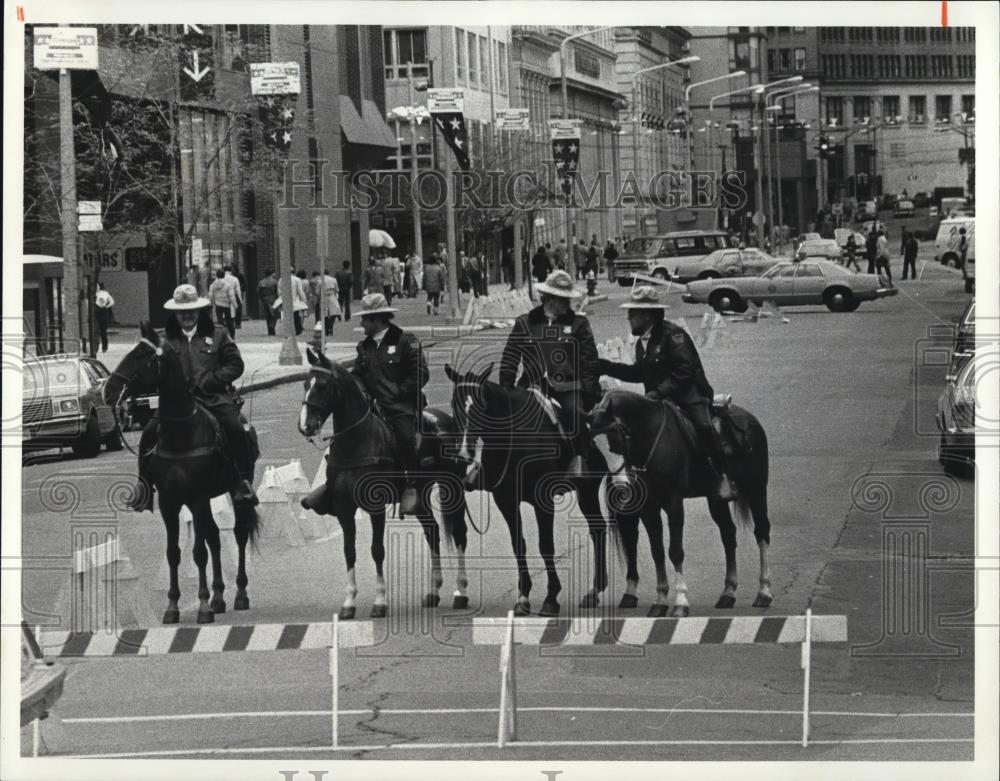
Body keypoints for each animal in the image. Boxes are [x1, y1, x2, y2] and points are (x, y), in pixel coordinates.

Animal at [103, 322, 262, 620]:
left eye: (140, 355)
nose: (107, 391)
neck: (182, 433)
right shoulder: (169, 501)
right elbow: (174, 552)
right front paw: (173, 606)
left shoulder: (196, 498)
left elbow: (198, 552)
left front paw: (202, 605)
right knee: (214, 537)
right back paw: (219, 597)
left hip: (237, 489)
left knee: (238, 533)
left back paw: (240, 594)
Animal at [296, 350, 472, 620]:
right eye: (305, 384)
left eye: (323, 386)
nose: (305, 426)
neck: (356, 442)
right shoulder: (344, 509)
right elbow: (349, 552)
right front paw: (349, 602)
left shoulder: (375, 508)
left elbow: (377, 549)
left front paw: (380, 601)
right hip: (419, 495)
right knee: (432, 532)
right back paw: (434, 591)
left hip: (453, 490)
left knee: (459, 532)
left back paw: (461, 592)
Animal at [446, 362, 608, 616]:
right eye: (455, 405)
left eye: (481, 407)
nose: (463, 453)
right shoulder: (506, 500)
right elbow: (518, 545)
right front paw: (523, 596)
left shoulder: (543, 499)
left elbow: (546, 545)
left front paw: (551, 598)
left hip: (588, 490)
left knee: (598, 530)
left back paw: (595, 590)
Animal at [588, 390, 768, 616]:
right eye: (596, 446)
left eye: (617, 438)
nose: (621, 485)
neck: (652, 438)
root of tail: (751, 420)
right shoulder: (649, 508)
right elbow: (657, 551)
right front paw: (660, 601)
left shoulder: (674, 504)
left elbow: (675, 552)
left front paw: (681, 602)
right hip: (716, 500)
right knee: (728, 534)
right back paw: (728, 593)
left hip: (757, 490)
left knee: (762, 532)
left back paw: (764, 592)